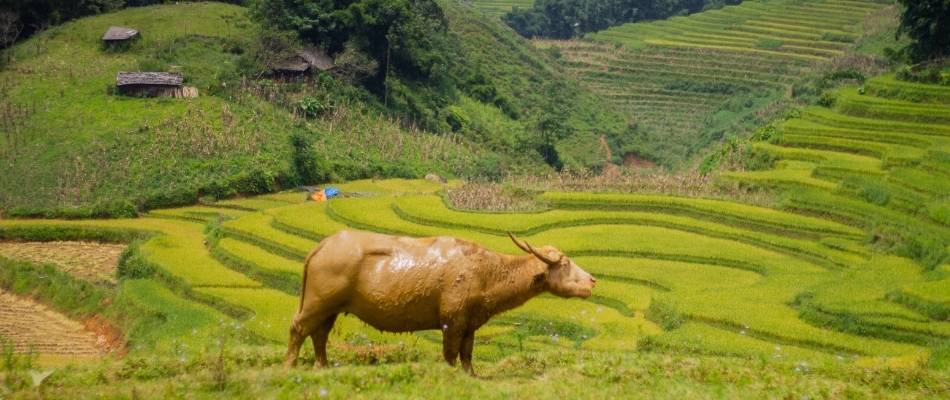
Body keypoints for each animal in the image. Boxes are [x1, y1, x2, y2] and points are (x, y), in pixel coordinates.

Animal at [282, 230, 596, 374]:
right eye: (565, 263)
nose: (593, 280)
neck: (486, 272)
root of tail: (324, 245)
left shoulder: (470, 324)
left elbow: (467, 353)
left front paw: (471, 376)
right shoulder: (451, 321)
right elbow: (450, 354)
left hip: (330, 309)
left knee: (319, 334)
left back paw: (322, 366)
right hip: (317, 303)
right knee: (299, 328)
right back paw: (289, 366)